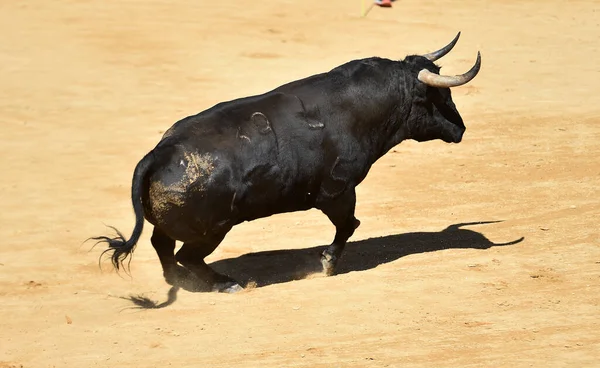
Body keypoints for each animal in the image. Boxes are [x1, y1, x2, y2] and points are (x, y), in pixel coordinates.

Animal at [91, 32, 480, 294]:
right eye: (438, 96)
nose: (461, 128)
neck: (361, 109)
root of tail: (161, 151)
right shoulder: (338, 191)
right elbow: (349, 224)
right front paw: (327, 264)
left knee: (163, 246)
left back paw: (177, 279)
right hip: (214, 228)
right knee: (186, 254)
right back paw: (225, 283)